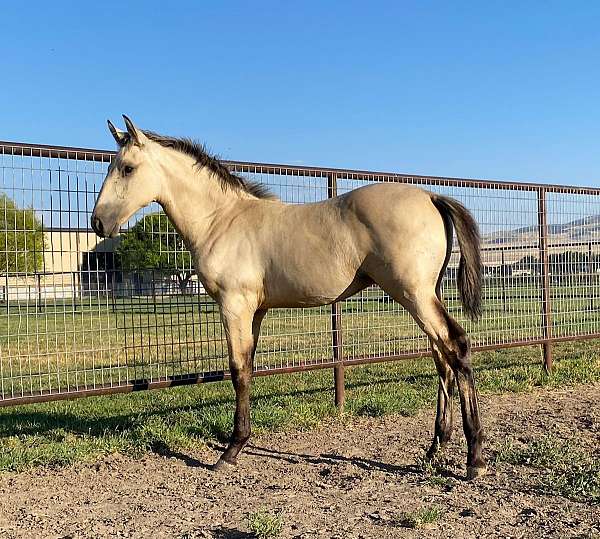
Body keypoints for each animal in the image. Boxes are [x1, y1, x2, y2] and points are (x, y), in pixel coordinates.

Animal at [92, 116, 488, 478]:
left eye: (127, 168)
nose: (98, 223)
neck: (222, 220)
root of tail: (431, 196)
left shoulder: (234, 306)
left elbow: (237, 369)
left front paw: (230, 451)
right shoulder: (255, 311)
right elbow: (248, 367)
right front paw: (239, 443)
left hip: (413, 294)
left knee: (456, 346)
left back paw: (474, 458)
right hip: (425, 295)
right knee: (441, 357)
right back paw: (434, 449)